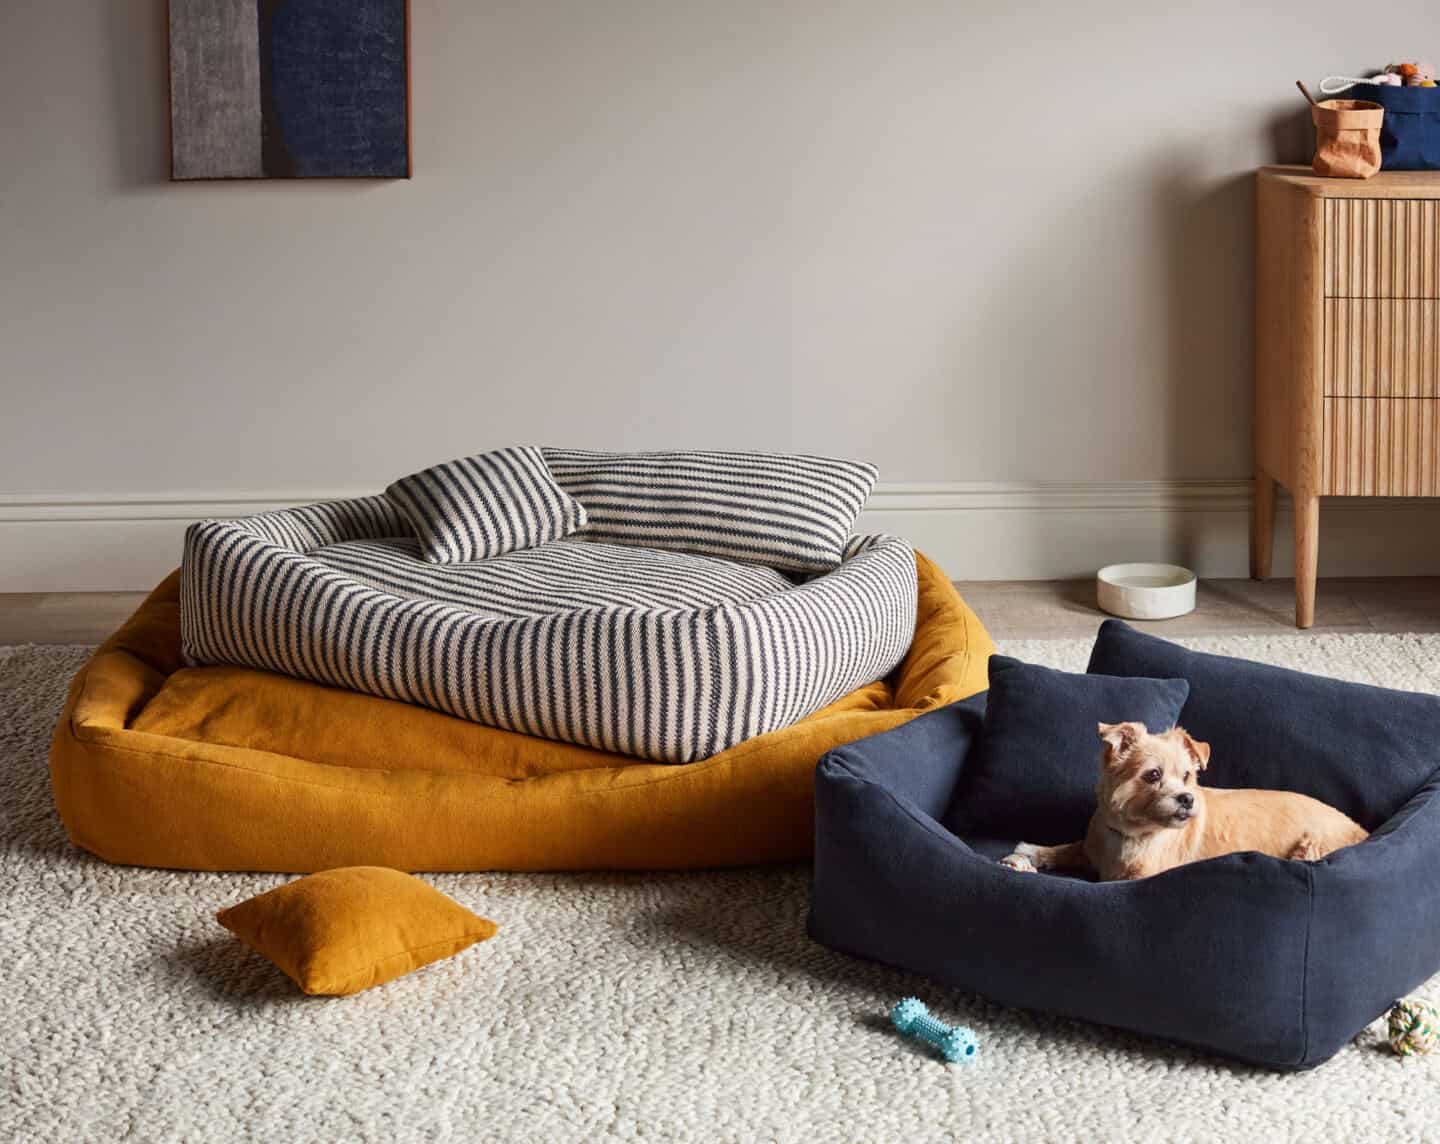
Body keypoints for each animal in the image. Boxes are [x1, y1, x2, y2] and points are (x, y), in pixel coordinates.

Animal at [996, 717, 1365, 876]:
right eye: (1153, 775)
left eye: (1188, 776)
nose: (1187, 799)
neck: (1131, 834)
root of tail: (1361, 831)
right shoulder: (1091, 848)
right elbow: (1067, 848)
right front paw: (1030, 853)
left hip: (1309, 848)